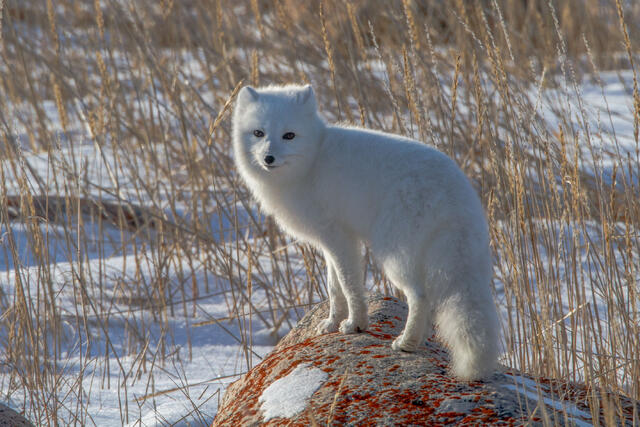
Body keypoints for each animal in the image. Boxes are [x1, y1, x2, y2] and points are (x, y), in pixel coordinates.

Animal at [232, 84, 500, 381]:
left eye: (289, 135)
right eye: (259, 133)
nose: (268, 158)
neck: (313, 159)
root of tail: (457, 196)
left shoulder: (341, 238)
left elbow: (349, 285)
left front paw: (355, 324)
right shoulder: (330, 241)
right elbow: (334, 286)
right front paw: (331, 323)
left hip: (394, 254)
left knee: (420, 296)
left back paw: (406, 343)